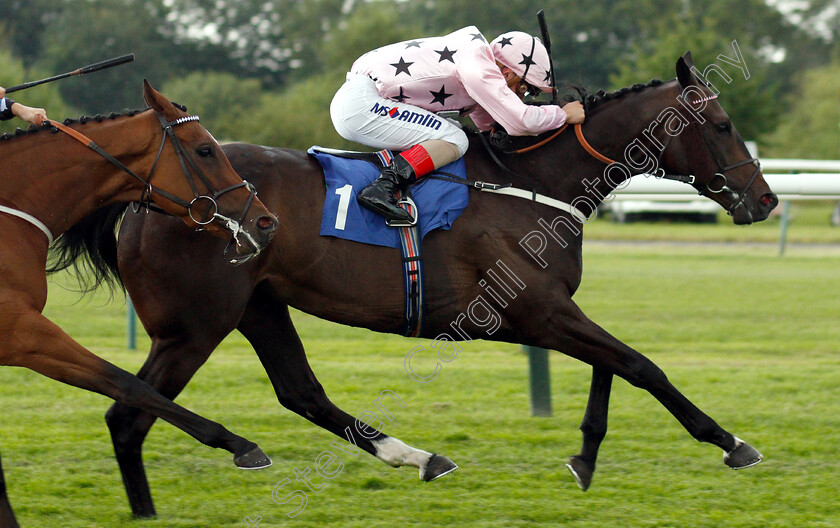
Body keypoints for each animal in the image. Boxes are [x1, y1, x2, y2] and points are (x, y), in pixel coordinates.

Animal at [70, 53, 776, 516]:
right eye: (721, 126)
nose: (765, 199)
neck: (534, 181)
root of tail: (143, 197)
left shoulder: (548, 313)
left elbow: (614, 365)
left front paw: (585, 456)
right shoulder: (537, 312)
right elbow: (641, 364)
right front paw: (730, 442)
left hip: (257, 305)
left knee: (300, 393)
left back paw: (416, 457)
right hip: (194, 325)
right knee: (129, 416)